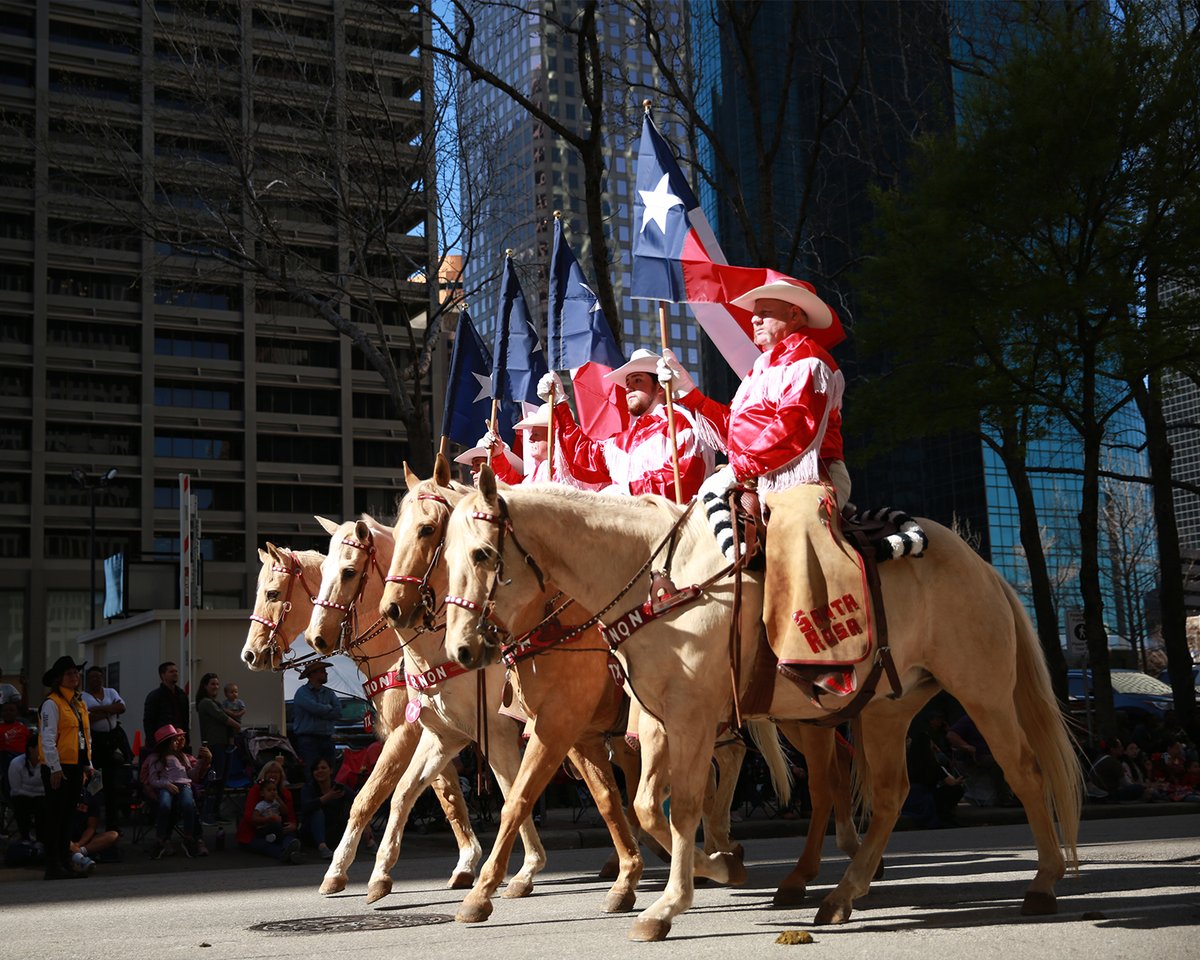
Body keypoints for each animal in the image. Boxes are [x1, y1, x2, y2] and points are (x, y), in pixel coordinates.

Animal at [238, 540, 482, 892]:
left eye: (272, 594)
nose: (249, 654)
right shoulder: (434, 734)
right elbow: (447, 795)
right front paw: (467, 862)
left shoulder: (406, 733)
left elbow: (368, 797)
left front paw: (339, 871)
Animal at [444, 475, 1089, 940]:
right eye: (445, 557)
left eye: (482, 554)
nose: (462, 649)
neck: (659, 582)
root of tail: (983, 566)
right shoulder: (654, 722)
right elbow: (648, 807)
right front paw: (718, 866)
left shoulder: (683, 719)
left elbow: (678, 809)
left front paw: (669, 903)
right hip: (886, 708)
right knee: (886, 795)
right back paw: (840, 893)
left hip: (982, 693)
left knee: (1024, 772)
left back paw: (1043, 881)